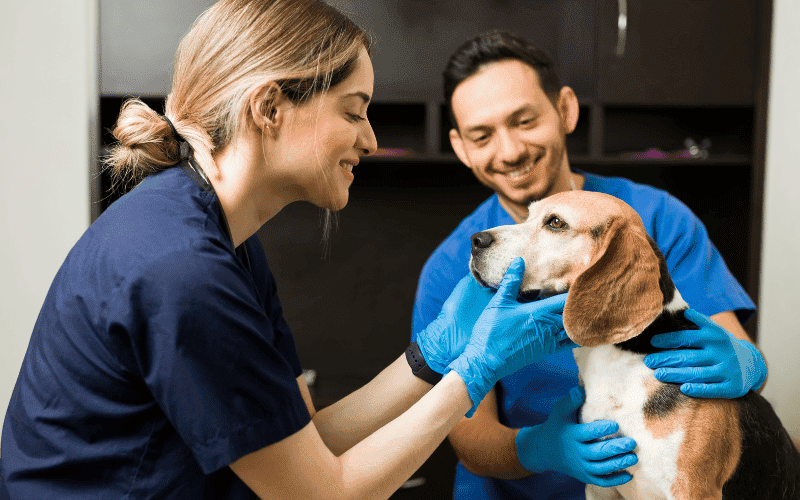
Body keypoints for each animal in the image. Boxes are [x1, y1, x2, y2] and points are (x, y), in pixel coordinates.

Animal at [468, 191, 800, 500]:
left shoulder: (692, 490)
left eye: (556, 223)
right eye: (527, 216)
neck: (620, 360)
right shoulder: (600, 485)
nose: (475, 240)